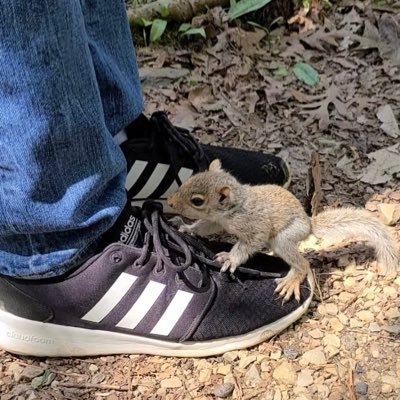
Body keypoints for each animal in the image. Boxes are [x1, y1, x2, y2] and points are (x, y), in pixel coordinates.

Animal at [168, 159, 400, 300]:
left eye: (197, 201)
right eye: (189, 179)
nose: (169, 202)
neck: (233, 208)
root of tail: (308, 224)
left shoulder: (254, 225)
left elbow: (251, 242)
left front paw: (231, 258)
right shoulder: (216, 221)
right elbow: (204, 226)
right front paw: (185, 227)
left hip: (285, 237)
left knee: (302, 263)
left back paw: (292, 279)